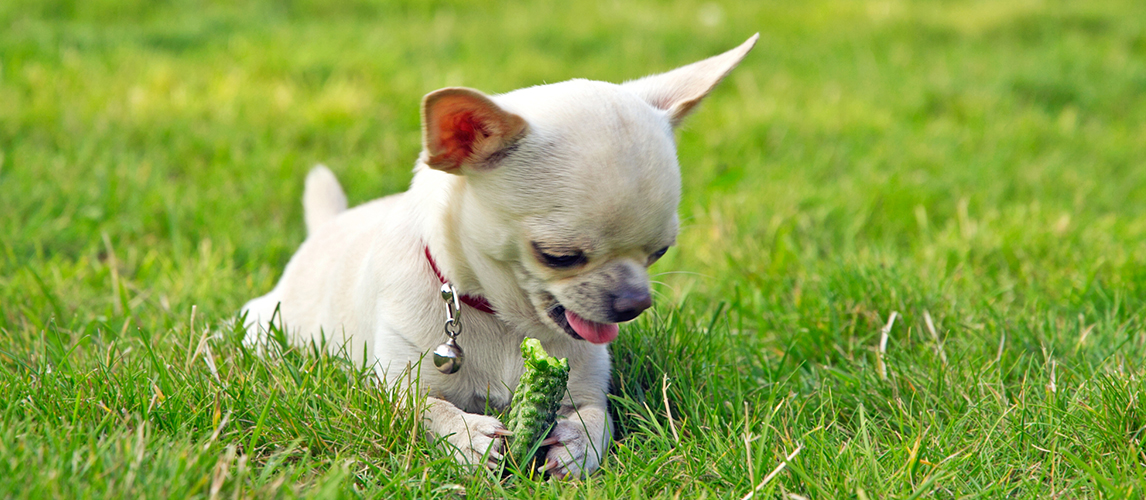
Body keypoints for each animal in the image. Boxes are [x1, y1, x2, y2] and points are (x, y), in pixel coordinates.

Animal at [241, 34, 756, 477]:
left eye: (660, 252)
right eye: (558, 256)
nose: (635, 302)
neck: (508, 323)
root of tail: (328, 224)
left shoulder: (586, 384)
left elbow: (599, 415)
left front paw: (577, 446)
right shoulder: (393, 384)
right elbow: (424, 408)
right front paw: (467, 437)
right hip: (265, 326)